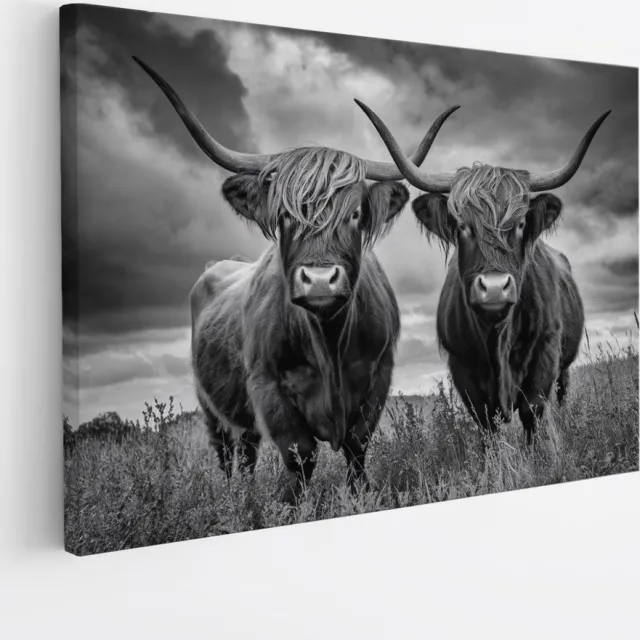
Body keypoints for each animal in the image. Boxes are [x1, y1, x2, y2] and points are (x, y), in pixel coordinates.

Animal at [133, 57, 458, 500]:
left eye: (355, 213)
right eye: (284, 215)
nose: (319, 280)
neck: (329, 342)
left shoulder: (378, 376)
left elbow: (357, 447)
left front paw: (359, 495)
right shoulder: (268, 386)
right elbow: (300, 457)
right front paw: (289, 507)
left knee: (247, 450)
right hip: (209, 402)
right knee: (228, 453)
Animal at [355, 99, 610, 445]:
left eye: (520, 223)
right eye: (462, 225)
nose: (493, 287)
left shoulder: (545, 353)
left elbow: (533, 413)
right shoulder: (462, 367)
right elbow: (487, 425)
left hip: (564, 364)